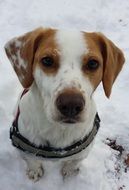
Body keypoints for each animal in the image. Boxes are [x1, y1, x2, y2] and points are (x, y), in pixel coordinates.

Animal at [4, 27, 124, 181]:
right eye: (47, 60)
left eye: (93, 63)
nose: (71, 105)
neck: (59, 130)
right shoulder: (25, 151)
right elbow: (33, 161)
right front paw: (34, 171)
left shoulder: (83, 153)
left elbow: (73, 162)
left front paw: (69, 171)